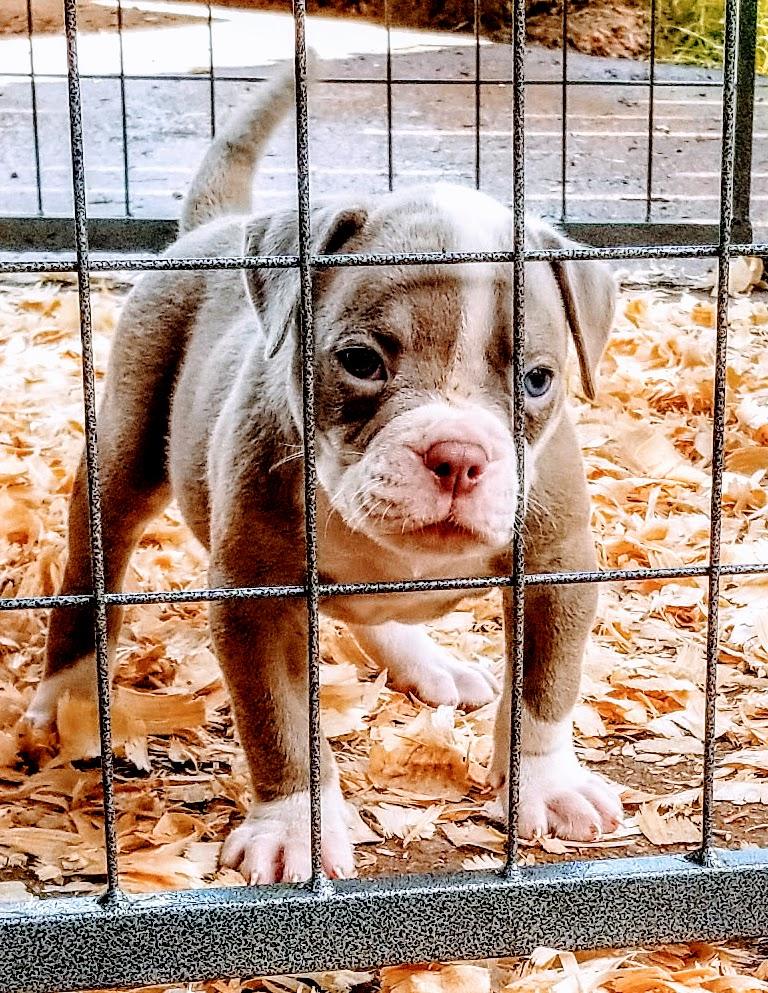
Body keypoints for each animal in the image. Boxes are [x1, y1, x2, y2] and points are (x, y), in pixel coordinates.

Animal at [24, 64, 624, 884]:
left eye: (537, 380)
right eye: (361, 361)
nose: (459, 456)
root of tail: (216, 229)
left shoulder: (557, 566)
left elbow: (545, 686)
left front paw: (548, 783)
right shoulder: (262, 598)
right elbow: (281, 722)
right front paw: (296, 830)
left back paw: (428, 662)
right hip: (123, 452)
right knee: (93, 569)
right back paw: (69, 695)